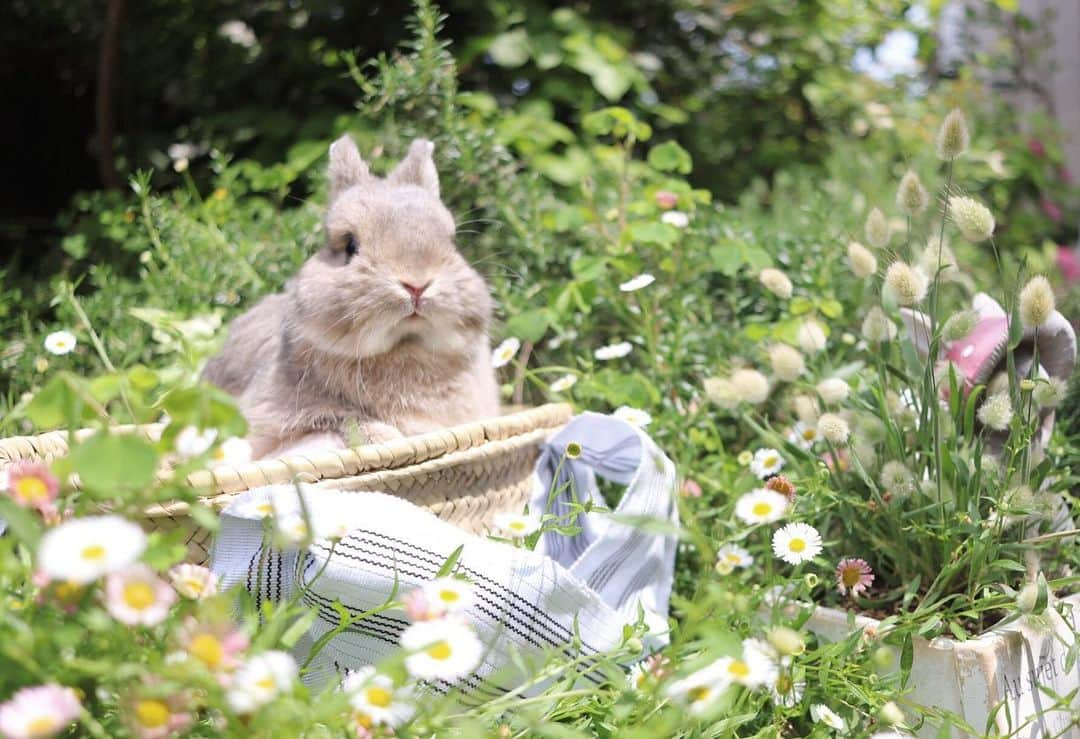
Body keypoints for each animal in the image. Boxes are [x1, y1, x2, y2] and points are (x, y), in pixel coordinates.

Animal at [204, 135, 498, 458]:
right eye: (350, 246)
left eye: (452, 243)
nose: (417, 284)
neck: (404, 348)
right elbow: (344, 418)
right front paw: (388, 437)